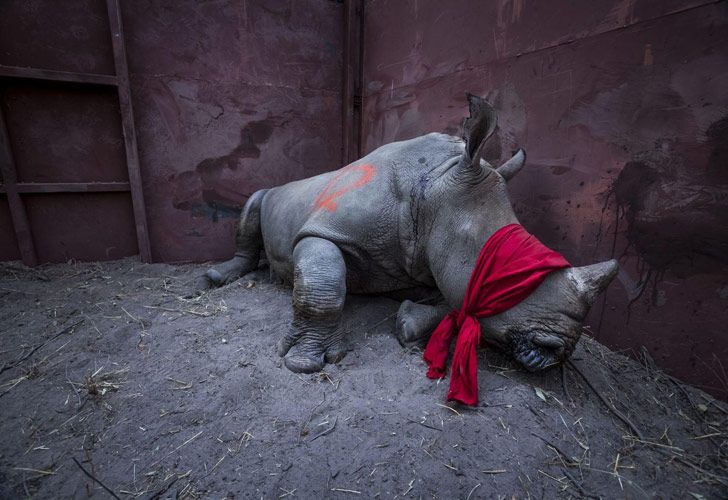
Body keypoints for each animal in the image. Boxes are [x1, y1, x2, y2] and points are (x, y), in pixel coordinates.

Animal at [206, 94, 620, 376]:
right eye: (507, 270)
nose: (557, 350)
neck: (435, 187)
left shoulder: (431, 256)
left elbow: (453, 301)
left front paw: (407, 323)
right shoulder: (325, 231)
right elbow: (323, 288)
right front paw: (304, 361)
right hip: (274, 192)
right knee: (254, 202)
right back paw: (219, 277)